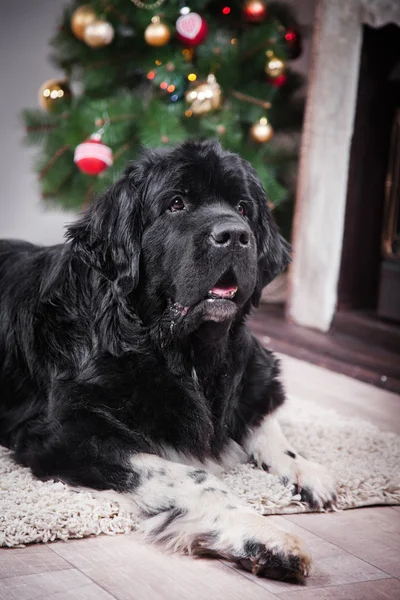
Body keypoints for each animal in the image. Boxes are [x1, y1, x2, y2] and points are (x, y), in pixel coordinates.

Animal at [0, 139, 336, 580]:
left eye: (243, 208)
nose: (234, 234)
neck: (182, 351)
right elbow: (194, 477)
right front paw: (265, 535)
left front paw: (305, 470)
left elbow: (265, 420)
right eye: (176, 203)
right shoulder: (68, 431)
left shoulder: (251, 372)